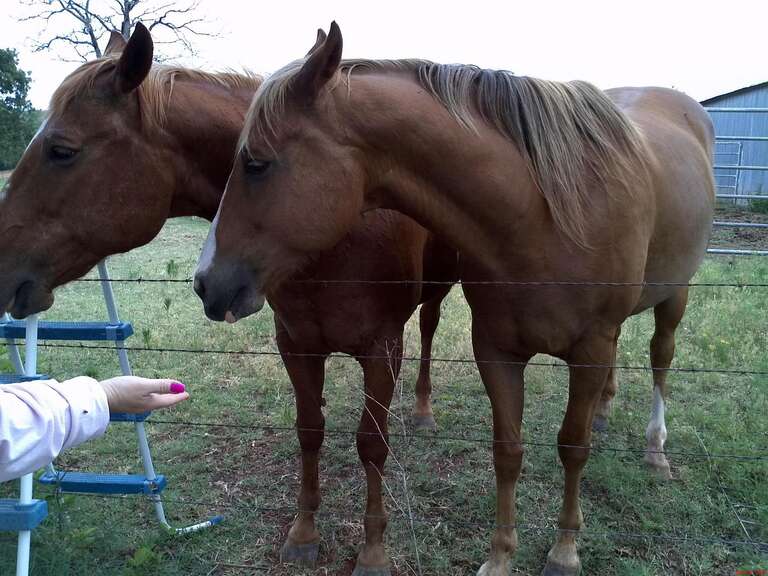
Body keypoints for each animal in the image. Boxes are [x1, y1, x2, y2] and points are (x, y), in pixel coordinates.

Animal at [0, 23, 460, 572]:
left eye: (62, 150)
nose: (0, 264)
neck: (339, 230)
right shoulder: (297, 345)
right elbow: (310, 431)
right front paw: (303, 532)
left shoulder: (382, 347)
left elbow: (372, 443)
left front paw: (372, 550)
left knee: (429, 328)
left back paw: (424, 410)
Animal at [194, 22, 712, 576]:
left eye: (256, 164)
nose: (205, 282)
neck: (546, 216)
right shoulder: (497, 350)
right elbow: (507, 451)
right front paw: (500, 556)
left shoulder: (589, 347)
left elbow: (573, 447)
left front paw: (564, 550)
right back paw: (606, 409)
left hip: (674, 298)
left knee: (661, 358)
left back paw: (656, 451)